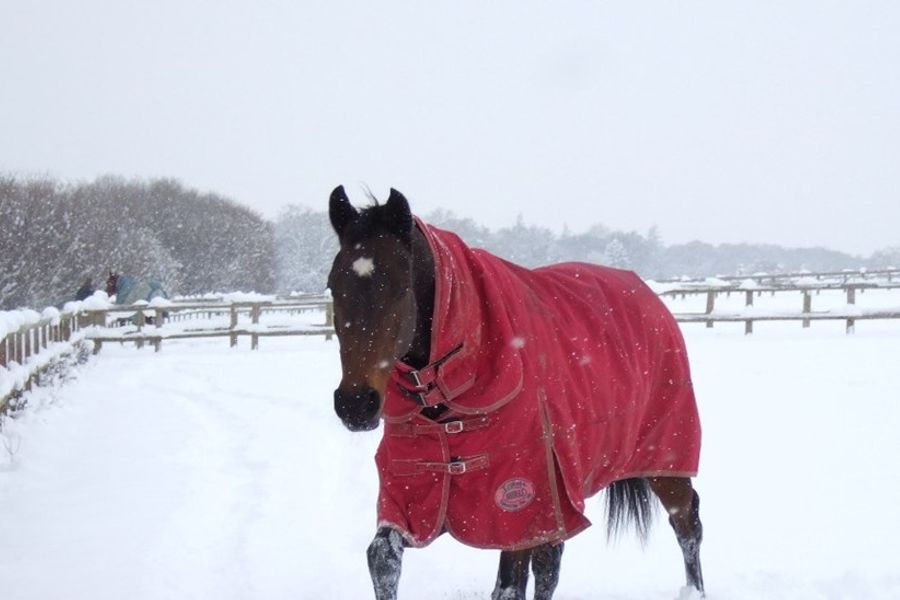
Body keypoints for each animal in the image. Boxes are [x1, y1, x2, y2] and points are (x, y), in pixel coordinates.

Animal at [327, 186, 705, 600]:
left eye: (399, 287)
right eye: (333, 285)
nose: (355, 404)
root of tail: (649, 296)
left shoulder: (520, 503)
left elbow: (509, 585)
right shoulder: (415, 493)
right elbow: (382, 557)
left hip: (663, 458)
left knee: (686, 523)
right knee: (550, 563)